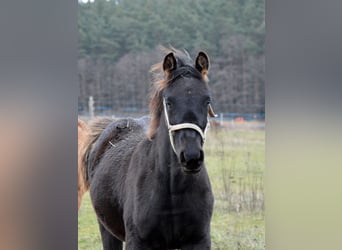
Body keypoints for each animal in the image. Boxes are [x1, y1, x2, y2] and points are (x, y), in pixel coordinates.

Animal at [79, 47, 215, 249]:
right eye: (169, 102)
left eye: (207, 101)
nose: (191, 158)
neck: (172, 189)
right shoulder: (138, 241)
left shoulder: (199, 240)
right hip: (107, 230)